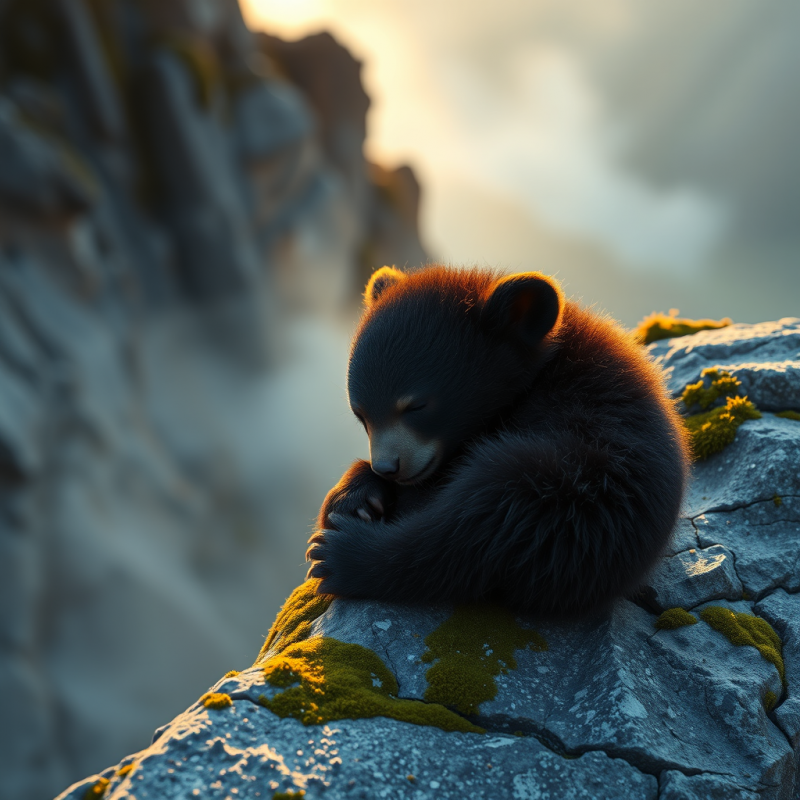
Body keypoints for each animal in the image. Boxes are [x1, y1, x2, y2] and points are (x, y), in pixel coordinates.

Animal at [306, 265, 690, 618]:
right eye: (361, 413)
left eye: (416, 405)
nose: (388, 468)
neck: (538, 380)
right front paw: (355, 498)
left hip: (566, 494)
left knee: (477, 525)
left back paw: (339, 555)